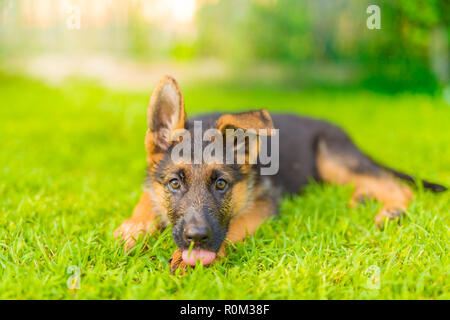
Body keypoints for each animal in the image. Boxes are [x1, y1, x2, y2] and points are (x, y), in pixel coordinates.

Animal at [113, 74, 446, 272]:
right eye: (174, 183)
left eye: (221, 184)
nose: (196, 238)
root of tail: (344, 134)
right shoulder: (152, 184)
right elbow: (146, 202)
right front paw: (132, 230)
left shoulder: (263, 204)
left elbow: (234, 226)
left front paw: (188, 260)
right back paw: (363, 199)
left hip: (332, 159)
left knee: (395, 185)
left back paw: (391, 211)